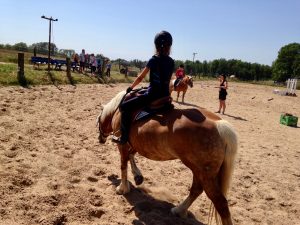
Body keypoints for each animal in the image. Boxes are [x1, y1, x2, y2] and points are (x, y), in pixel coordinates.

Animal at [97, 90, 238, 225]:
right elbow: (130, 157)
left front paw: (122, 188)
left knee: (220, 203)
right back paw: (179, 210)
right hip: (199, 170)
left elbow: (123, 165)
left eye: (98, 121)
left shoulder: (122, 144)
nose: (100, 139)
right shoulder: (134, 145)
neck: (118, 110)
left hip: (204, 173)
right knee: (196, 189)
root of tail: (218, 124)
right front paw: (137, 176)